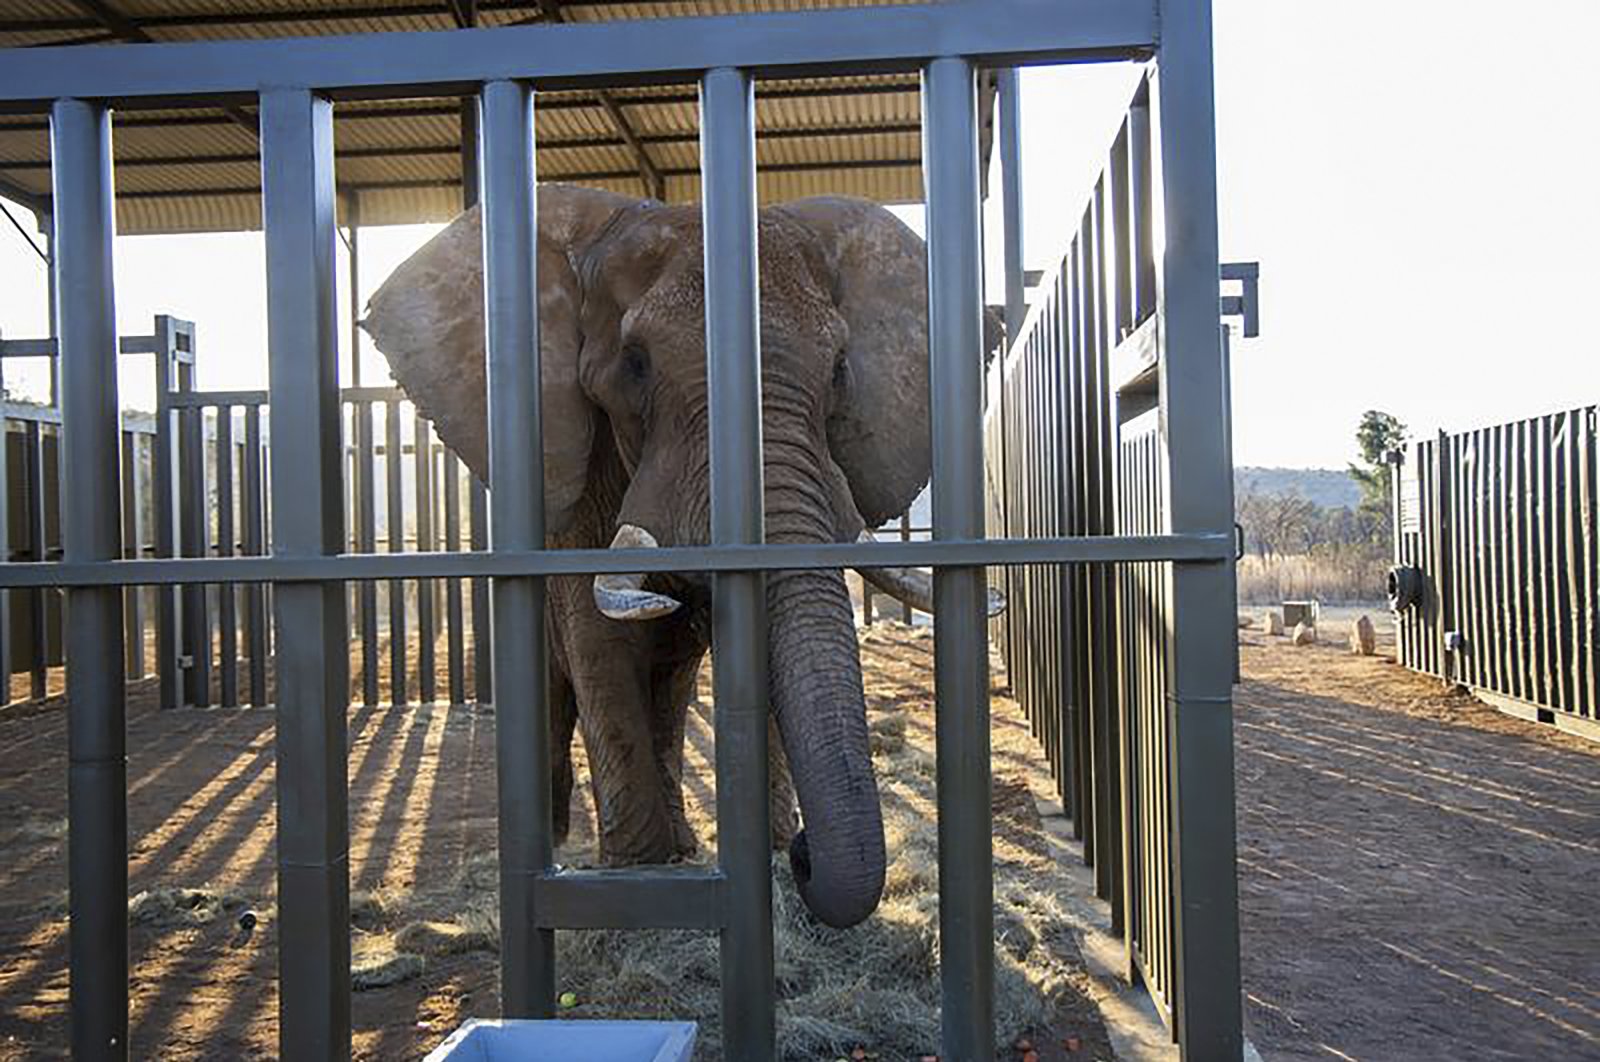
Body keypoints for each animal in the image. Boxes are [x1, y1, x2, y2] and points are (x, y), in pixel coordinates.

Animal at [364, 184, 985, 927]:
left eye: (839, 369)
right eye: (636, 364)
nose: (806, 854)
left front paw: (756, 854)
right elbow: (599, 639)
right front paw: (637, 878)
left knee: (667, 688)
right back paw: (564, 841)